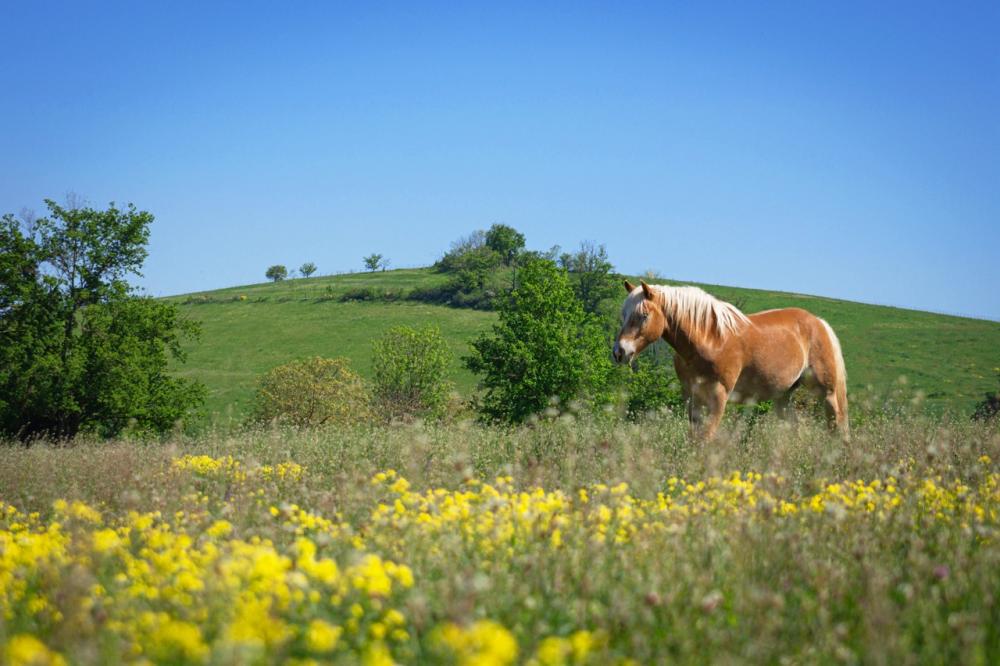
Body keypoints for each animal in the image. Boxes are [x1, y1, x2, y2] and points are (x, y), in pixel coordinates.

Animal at [613, 280, 849, 440]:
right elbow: (694, 437)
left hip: (826, 392)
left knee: (836, 424)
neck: (710, 339)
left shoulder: (719, 396)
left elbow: (706, 437)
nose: (619, 351)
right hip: (783, 398)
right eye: (623, 315)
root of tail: (818, 322)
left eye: (643, 315)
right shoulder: (693, 397)